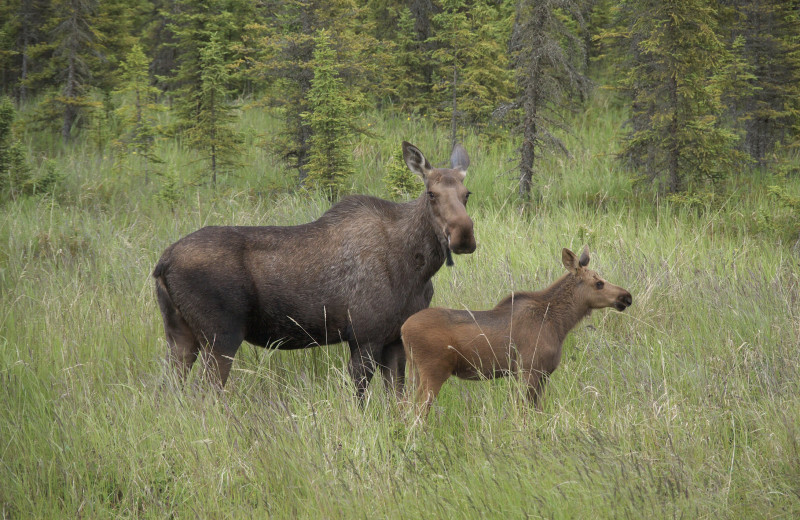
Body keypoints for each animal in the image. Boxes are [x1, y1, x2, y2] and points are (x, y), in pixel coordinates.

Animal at [152, 142, 476, 398]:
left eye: (467, 193)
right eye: (431, 193)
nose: (463, 235)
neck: (419, 269)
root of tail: (162, 263)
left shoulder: (395, 338)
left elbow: (397, 398)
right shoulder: (365, 336)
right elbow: (359, 398)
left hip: (180, 335)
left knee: (170, 390)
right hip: (221, 335)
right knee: (204, 395)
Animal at [400, 246, 632, 416]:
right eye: (599, 283)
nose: (626, 297)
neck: (560, 324)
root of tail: (403, 330)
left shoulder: (543, 374)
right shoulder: (529, 370)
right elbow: (523, 412)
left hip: (413, 370)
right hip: (433, 371)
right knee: (418, 412)